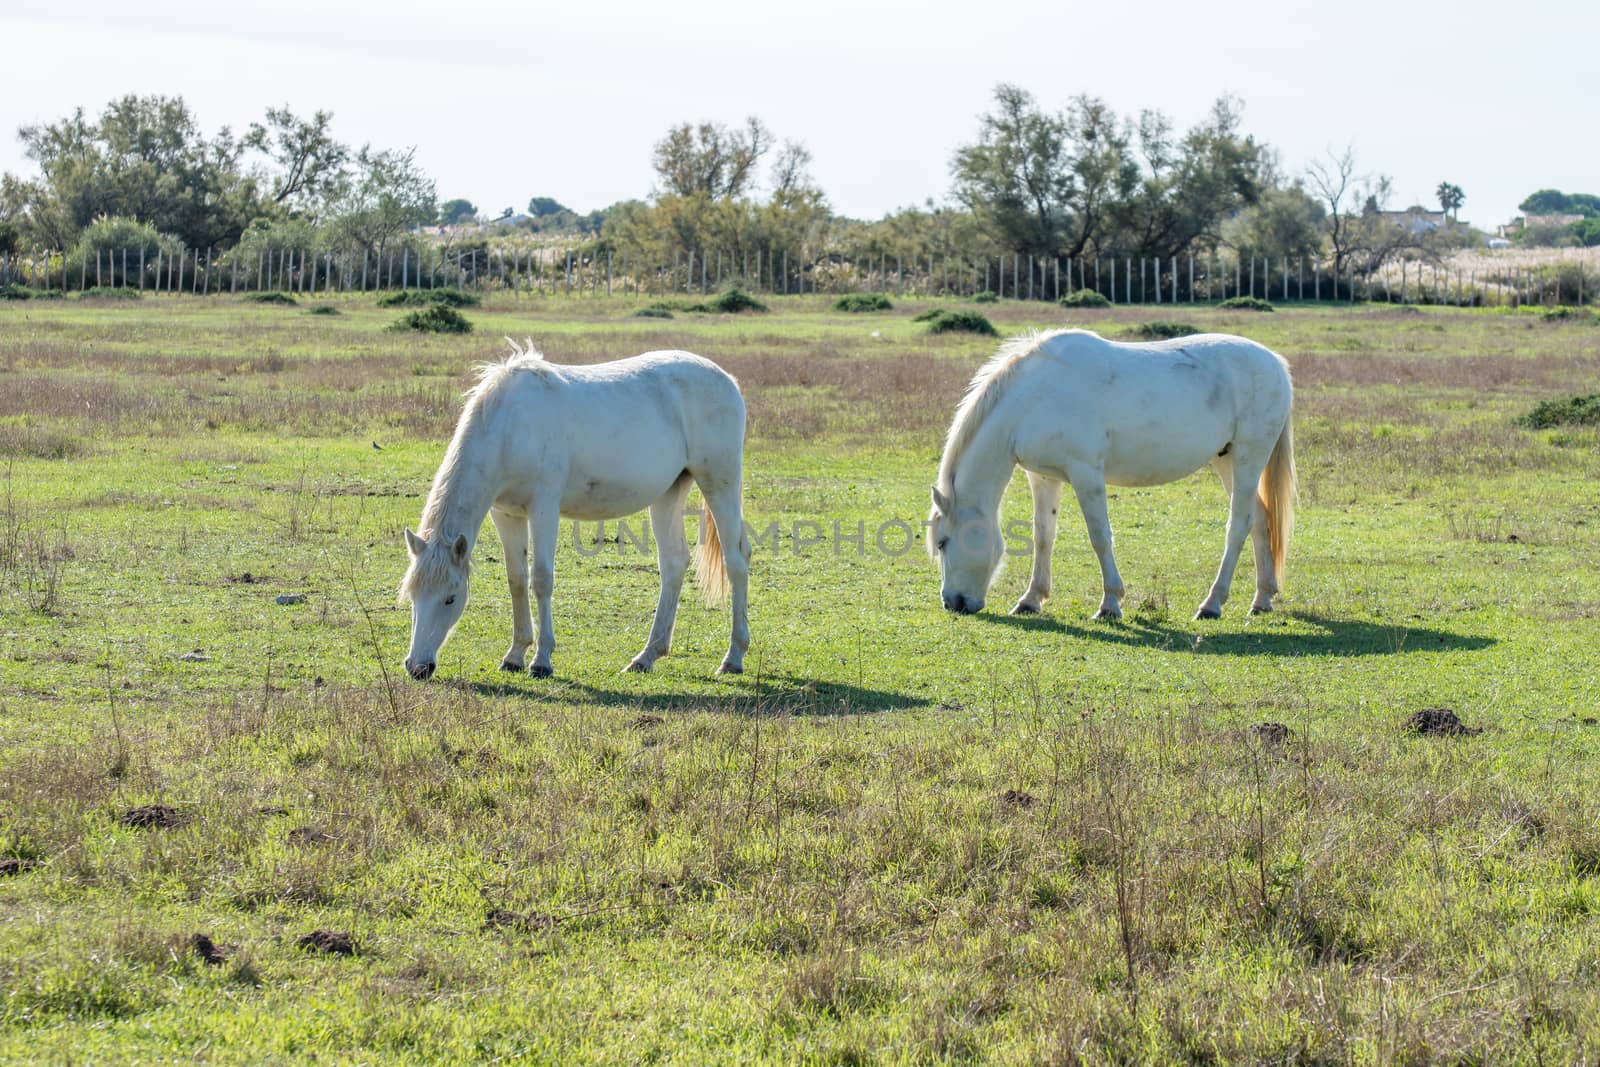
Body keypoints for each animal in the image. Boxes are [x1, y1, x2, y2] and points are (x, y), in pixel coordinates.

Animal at [400, 343, 748, 675]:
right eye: (413, 594)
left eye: (450, 597)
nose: (418, 667)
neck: (509, 427)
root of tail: (726, 379)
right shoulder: (506, 514)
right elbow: (516, 579)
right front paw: (515, 654)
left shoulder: (543, 508)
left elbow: (541, 579)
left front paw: (541, 660)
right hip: (668, 493)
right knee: (674, 563)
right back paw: (647, 656)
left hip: (720, 485)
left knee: (736, 561)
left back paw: (733, 657)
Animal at [934, 329, 1292, 620]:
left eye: (941, 542)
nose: (953, 602)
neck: (1035, 397)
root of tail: (1275, 363)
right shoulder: (1043, 477)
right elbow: (1043, 536)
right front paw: (1031, 600)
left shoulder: (1086, 473)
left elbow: (1099, 537)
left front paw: (1110, 604)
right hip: (1226, 460)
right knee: (1259, 519)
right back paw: (1262, 599)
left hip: (1248, 457)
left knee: (1238, 526)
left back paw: (1212, 604)